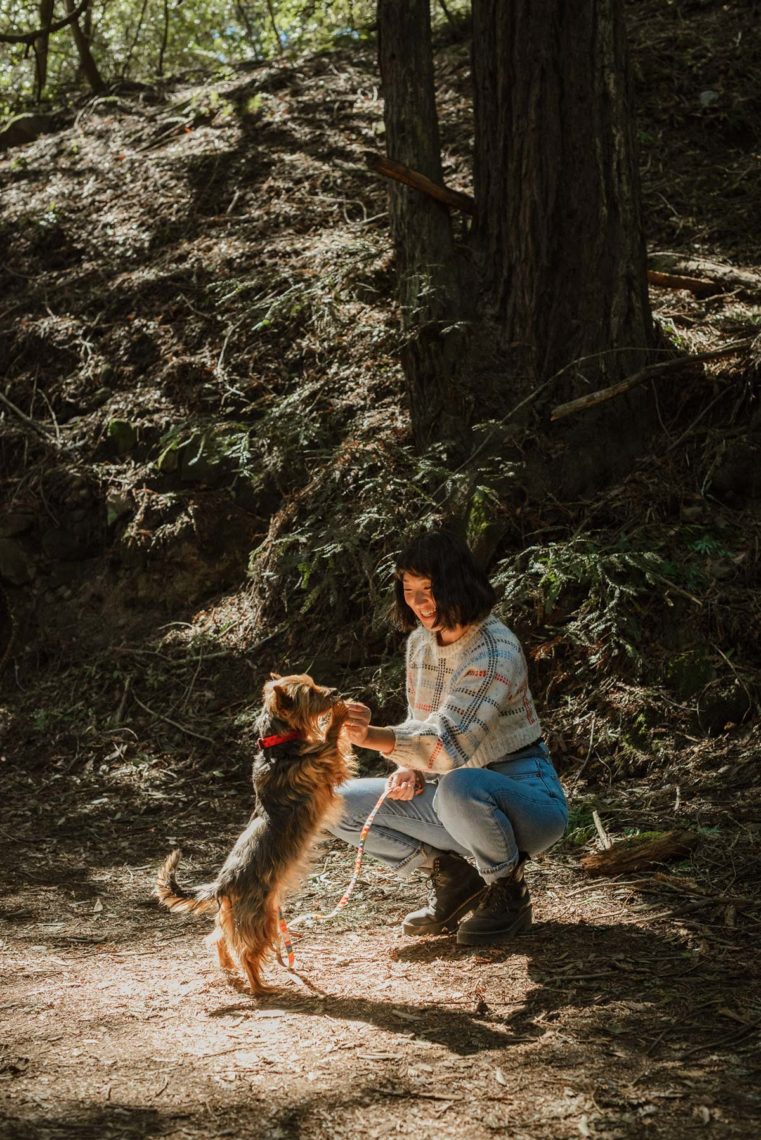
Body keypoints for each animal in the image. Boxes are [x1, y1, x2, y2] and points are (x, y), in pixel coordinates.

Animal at [157, 670, 357, 994]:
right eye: (311, 693)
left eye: (315, 683)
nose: (336, 691)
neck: (278, 744)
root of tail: (221, 885)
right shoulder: (322, 761)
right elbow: (331, 740)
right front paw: (339, 714)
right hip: (260, 919)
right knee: (246, 952)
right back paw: (259, 987)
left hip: (242, 915)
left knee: (219, 938)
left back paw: (229, 969)